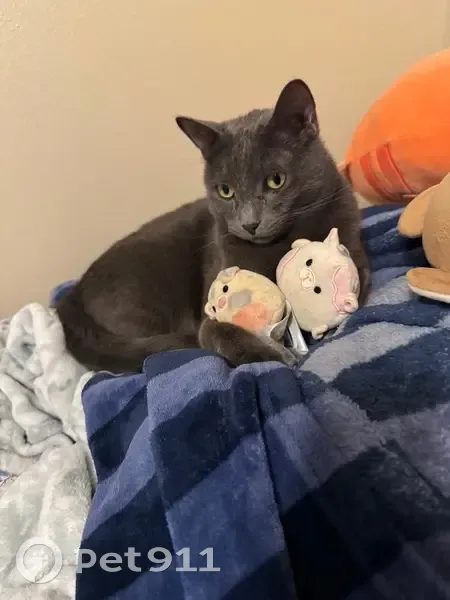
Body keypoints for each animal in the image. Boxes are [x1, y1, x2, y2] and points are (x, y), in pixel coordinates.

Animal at [56, 79, 370, 373]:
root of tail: (71, 298)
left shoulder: (353, 246)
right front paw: (267, 355)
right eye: (225, 191)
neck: (280, 245)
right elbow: (214, 329)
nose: (250, 223)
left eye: (276, 180)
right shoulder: (212, 302)